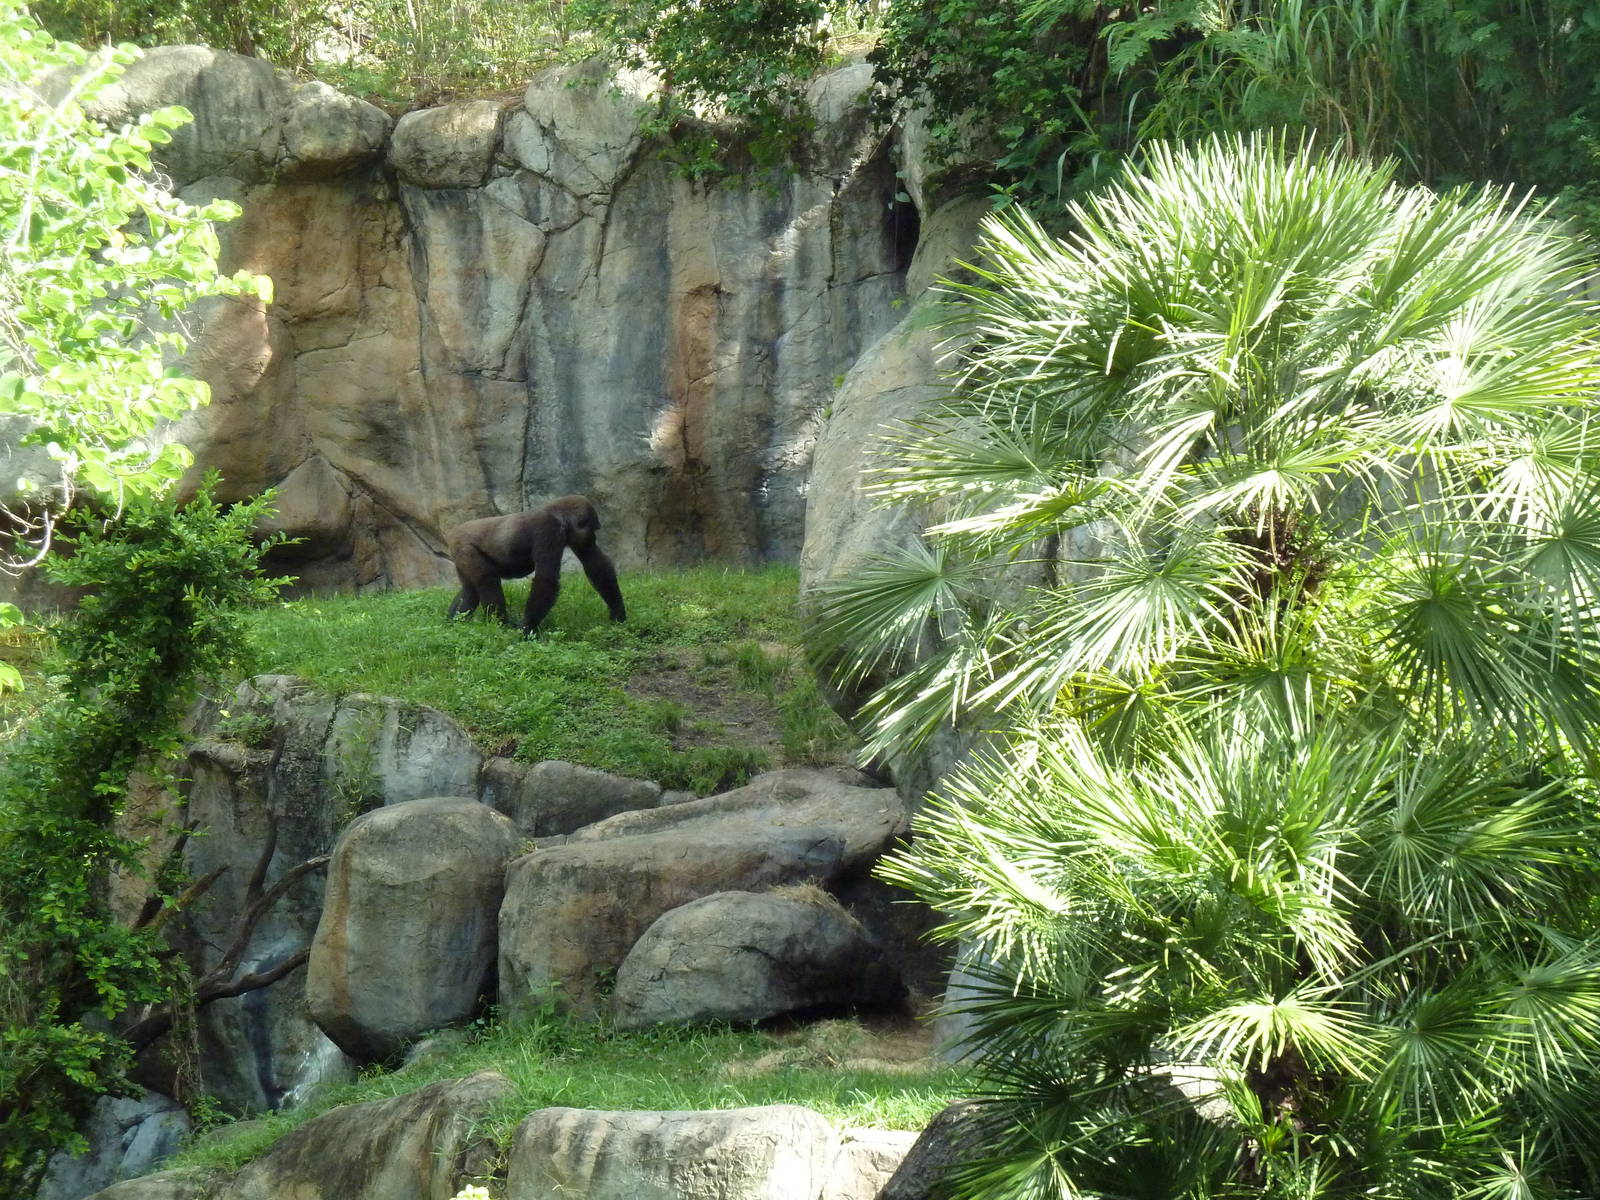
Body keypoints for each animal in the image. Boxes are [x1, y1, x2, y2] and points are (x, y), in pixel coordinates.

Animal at [445, 495, 626, 637]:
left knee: (470, 590)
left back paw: (455, 621)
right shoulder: (548, 529)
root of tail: (453, 533)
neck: (559, 515)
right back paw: (500, 625)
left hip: (459, 554)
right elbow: (546, 579)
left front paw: (618, 613)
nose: (593, 539)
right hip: (464, 547)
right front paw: (528, 629)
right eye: (593, 530)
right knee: (488, 582)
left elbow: (595, 565)